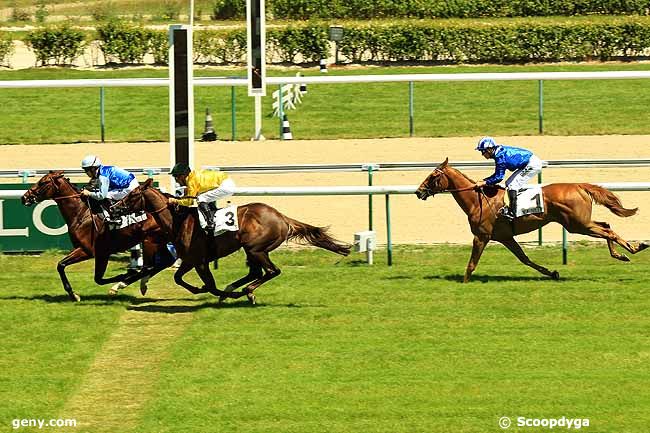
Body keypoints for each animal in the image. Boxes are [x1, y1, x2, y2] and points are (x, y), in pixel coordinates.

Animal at [21, 171, 172, 300]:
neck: (82, 213)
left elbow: (94, 277)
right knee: (164, 262)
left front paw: (124, 275)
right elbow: (64, 266)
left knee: (150, 266)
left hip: (149, 240)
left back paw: (122, 284)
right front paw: (73, 294)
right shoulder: (90, 251)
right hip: (159, 241)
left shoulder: (92, 251)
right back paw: (141, 284)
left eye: (43, 182)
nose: (24, 197)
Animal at [115, 177, 350, 302]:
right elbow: (178, 278)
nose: (116, 207)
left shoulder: (200, 261)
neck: (178, 221)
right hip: (251, 250)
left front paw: (214, 292)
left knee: (271, 271)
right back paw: (235, 289)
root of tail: (281, 217)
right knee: (256, 272)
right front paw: (202, 290)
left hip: (256, 248)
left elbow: (208, 285)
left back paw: (245, 292)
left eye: (133, 194)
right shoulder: (191, 260)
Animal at [416, 157, 648, 282]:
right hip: (580, 223)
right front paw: (552, 273)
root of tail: (580, 185)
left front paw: (464, 283)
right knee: (606, 225)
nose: (418, 192)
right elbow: (525, 259)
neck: (477, 200)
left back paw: (635, 248)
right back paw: (623, 253)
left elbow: (472, 263)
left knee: (608, 230)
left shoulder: (481, 236)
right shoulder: (505, 237)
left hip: (577, 224)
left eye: (433, 176)